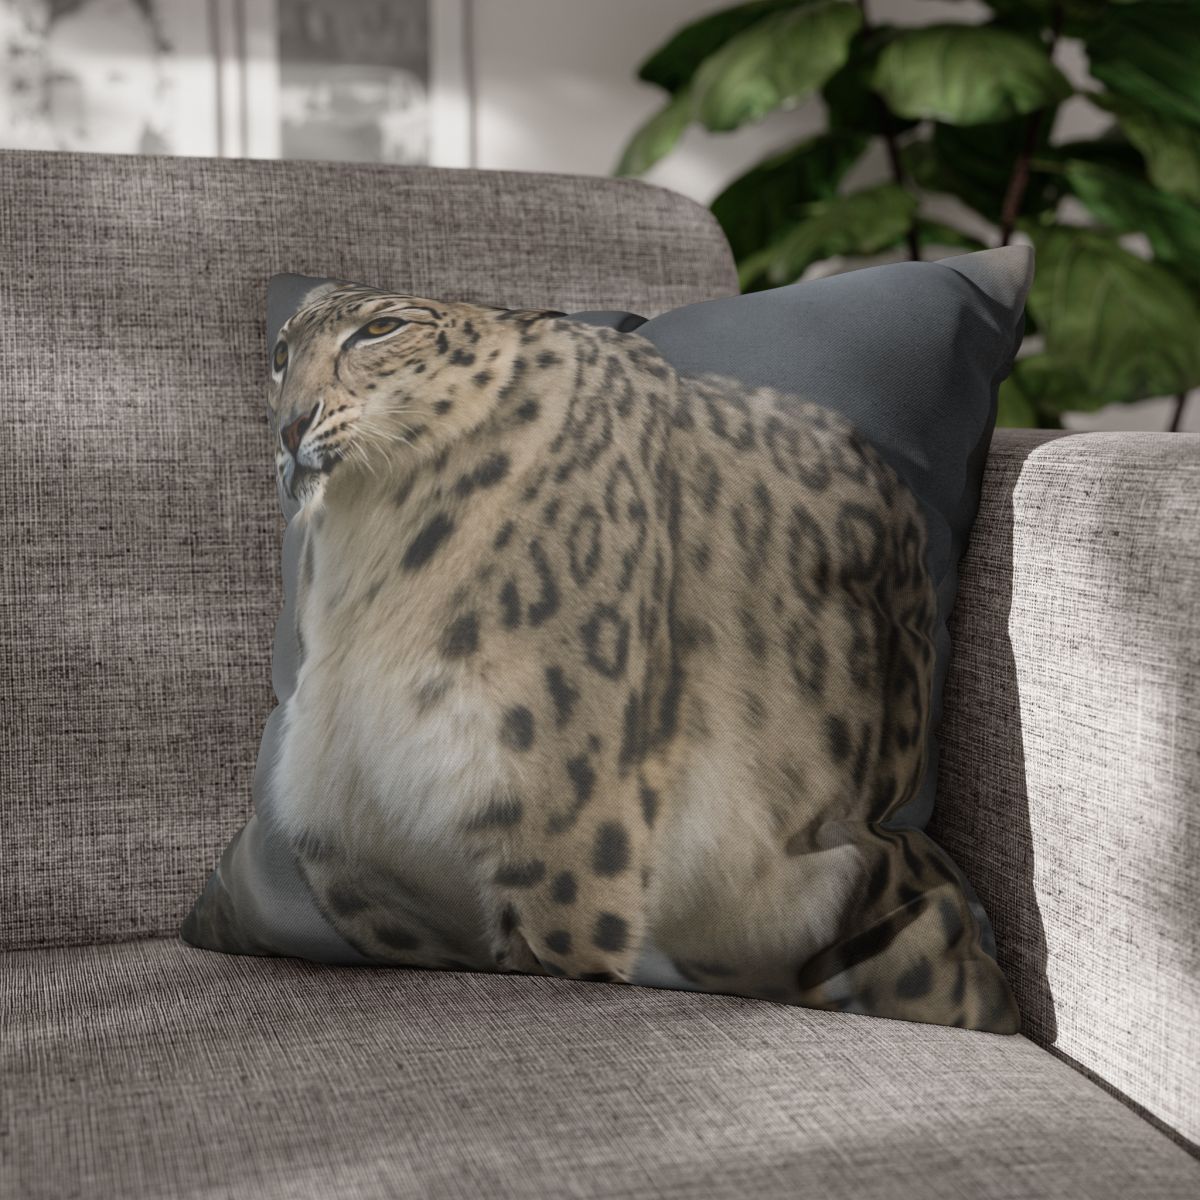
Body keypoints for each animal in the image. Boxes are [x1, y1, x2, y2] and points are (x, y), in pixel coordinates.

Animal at [263, 282, 1019, 1033]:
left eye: (381, 329)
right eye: (279, 352)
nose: (290, 426)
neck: (369, 562)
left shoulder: (563, 837)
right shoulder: (360, 867)